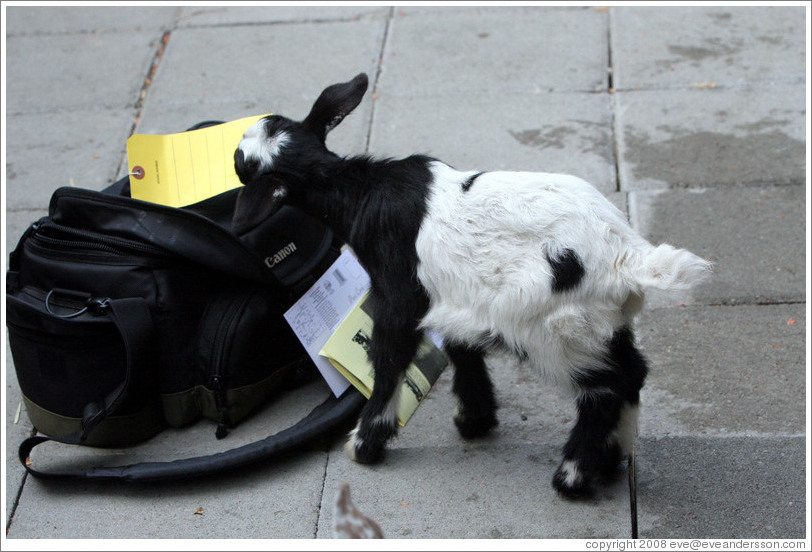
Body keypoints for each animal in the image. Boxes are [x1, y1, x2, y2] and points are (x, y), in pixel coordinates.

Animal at [232, 73, 712, 497]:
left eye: (242, 162)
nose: (232, 156)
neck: (360, 193)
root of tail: (627, 256)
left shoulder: (398, 295)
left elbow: (389, 361)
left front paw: (364, 444)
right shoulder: (457, 296)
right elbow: (461, 346)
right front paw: (475, 420)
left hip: (555, 329)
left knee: (606, 387)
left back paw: (573, 477)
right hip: (602, 322)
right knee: (632, 373)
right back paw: (610, 461)